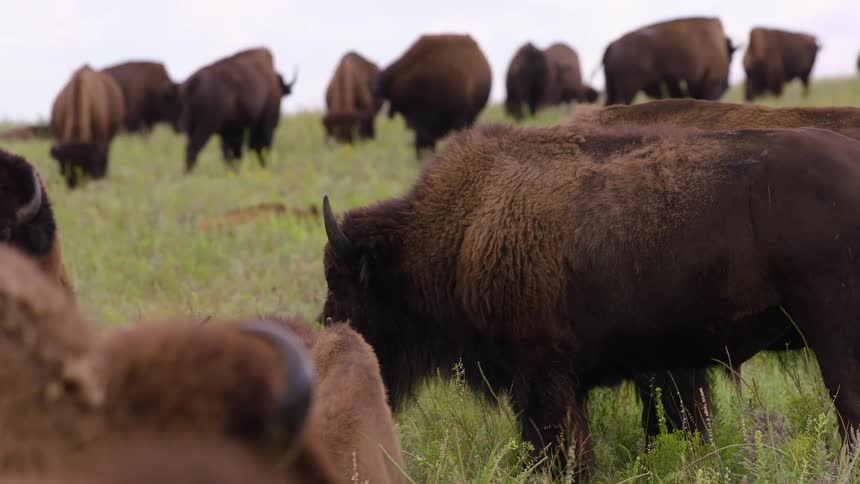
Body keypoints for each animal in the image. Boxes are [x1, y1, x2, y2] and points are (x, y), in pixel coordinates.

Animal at [322, 123, 860, 475]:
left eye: (343, 281)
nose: (328, 333)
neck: (462, 228)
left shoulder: (541, 376)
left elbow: (556, 450)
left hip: (834, 340)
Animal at [602, 17, 734, 105]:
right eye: (731, 59)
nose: (727, 85)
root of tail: (612, 45)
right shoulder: (712, 85)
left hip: (612, 88)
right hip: (627, 89)